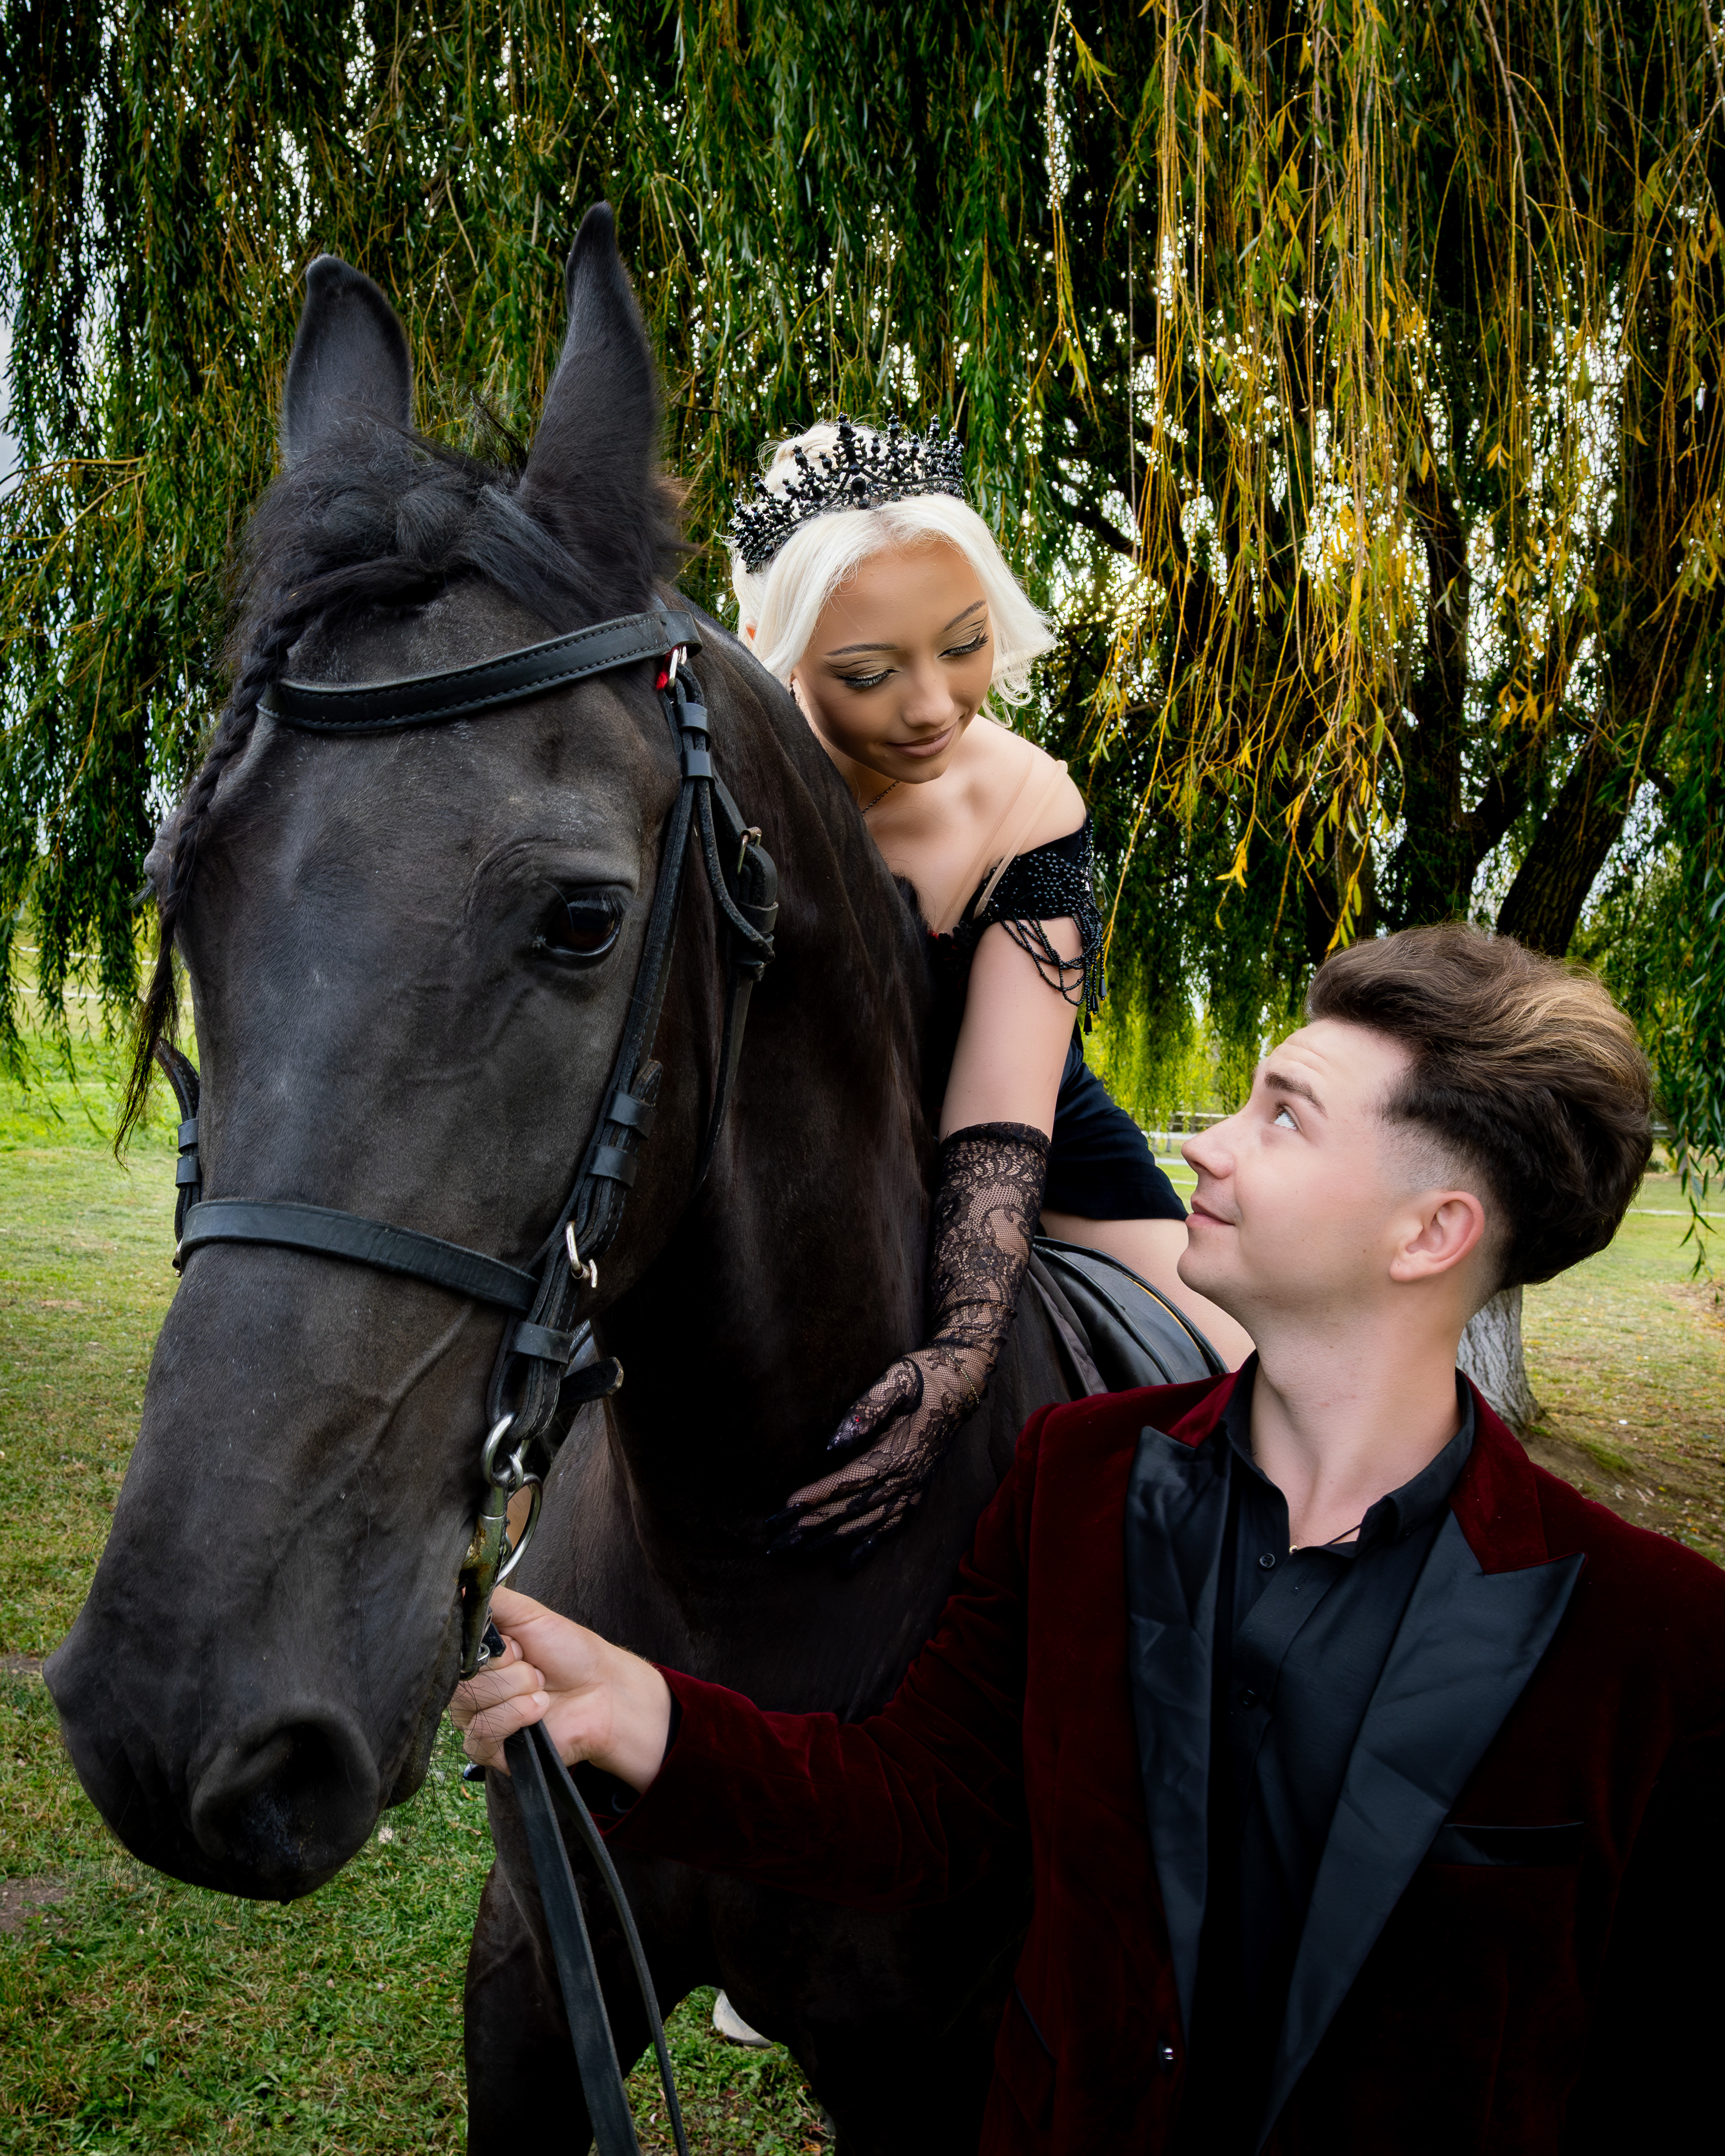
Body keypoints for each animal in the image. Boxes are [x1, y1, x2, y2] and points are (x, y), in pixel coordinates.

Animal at [45, 207, 1084, 2153]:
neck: (754, 1573)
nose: (176, 1711)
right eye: (179, 887)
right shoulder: (536, 1987)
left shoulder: (934, 2069)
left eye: (583, 919)